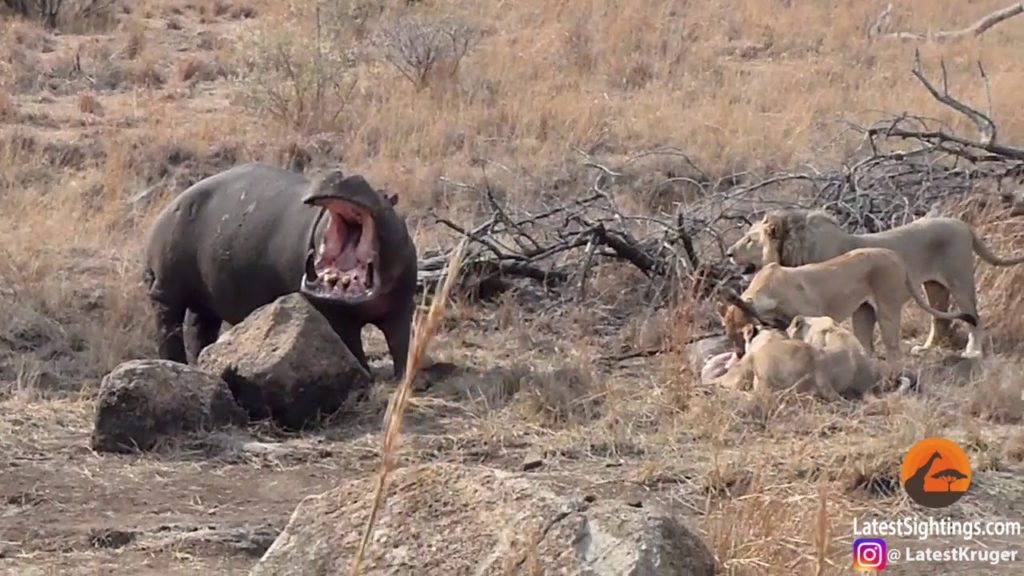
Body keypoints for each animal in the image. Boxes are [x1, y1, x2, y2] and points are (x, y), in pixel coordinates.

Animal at [142, 163, 419, 380]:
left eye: (385, 197)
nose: (343, 174)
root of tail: (171, 205)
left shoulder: (402, 306)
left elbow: (402, 343)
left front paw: (406, 378)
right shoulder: (335, 315)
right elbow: (353, 347)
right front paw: (367, 377)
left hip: (206, 299)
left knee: (200, 328)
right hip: (166, 290)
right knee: (168, 327)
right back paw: (176, 365)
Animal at [721, 247, 979, 374]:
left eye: (739, 334)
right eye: (729, 335)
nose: (739, 354)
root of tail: (894, 255)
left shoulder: (813, 316)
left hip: (887, 308)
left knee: (894, 350)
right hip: (863, 312)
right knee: (868, 346)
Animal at [725, 207, 1024, 359]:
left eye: (750, 239)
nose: (728, 253)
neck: (794, 247)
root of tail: (963, 225)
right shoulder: (862, 305)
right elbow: (862, 334)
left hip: (959, 280)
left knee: (974, 317)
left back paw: (973, 352)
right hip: (934, 287)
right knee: (939, 319)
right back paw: (926, 348)